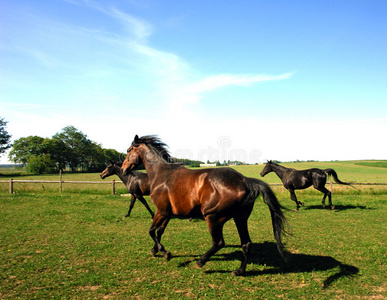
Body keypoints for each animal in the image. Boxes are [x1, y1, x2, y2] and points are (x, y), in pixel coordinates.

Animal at [121, 135, 288, 276]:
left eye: (128, 150)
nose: (123, 169)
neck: (161, 174)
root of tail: (245, 180)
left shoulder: (161, 211)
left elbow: (151, 231)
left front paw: (165, 252)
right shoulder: (167, 213)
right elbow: (159, 231)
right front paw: (155, 250)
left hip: (213, 217)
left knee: (219, 242)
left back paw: (200, 262)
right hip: (240, 219)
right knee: (246, 243)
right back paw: (239, 271)